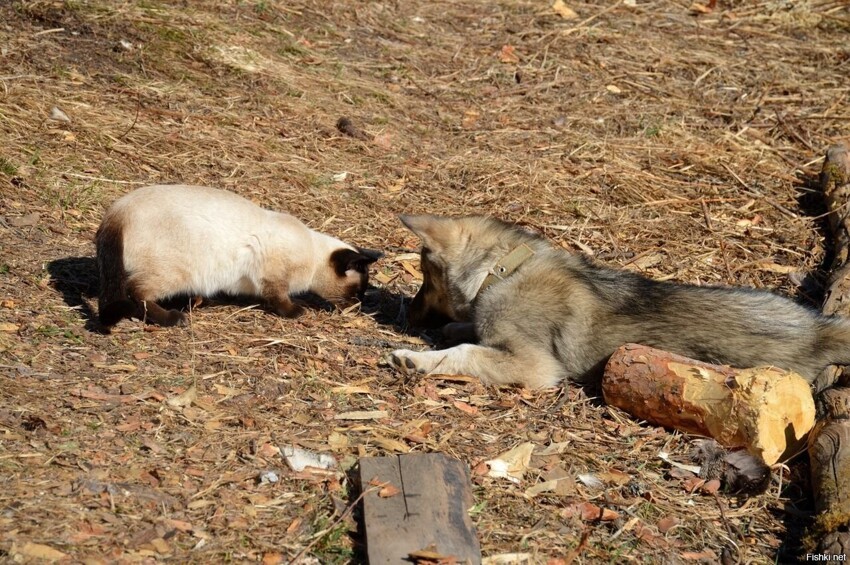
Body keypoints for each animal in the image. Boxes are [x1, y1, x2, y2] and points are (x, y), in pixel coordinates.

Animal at [93, 183, 380, 328]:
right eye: (357, 292)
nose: (358, 307)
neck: (312, 253)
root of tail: (116, 211)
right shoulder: (273, 276)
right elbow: (278, 298)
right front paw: (296, 311)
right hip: (177, 271)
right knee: (136, 291)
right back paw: (173, 318)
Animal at [384, 213, 848, 388]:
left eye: (426, 277)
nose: (407, 317)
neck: (503, 269)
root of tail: (821, 330)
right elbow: (467, 331)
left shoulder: (535, 367)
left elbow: (466, 351)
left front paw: (414, 358)